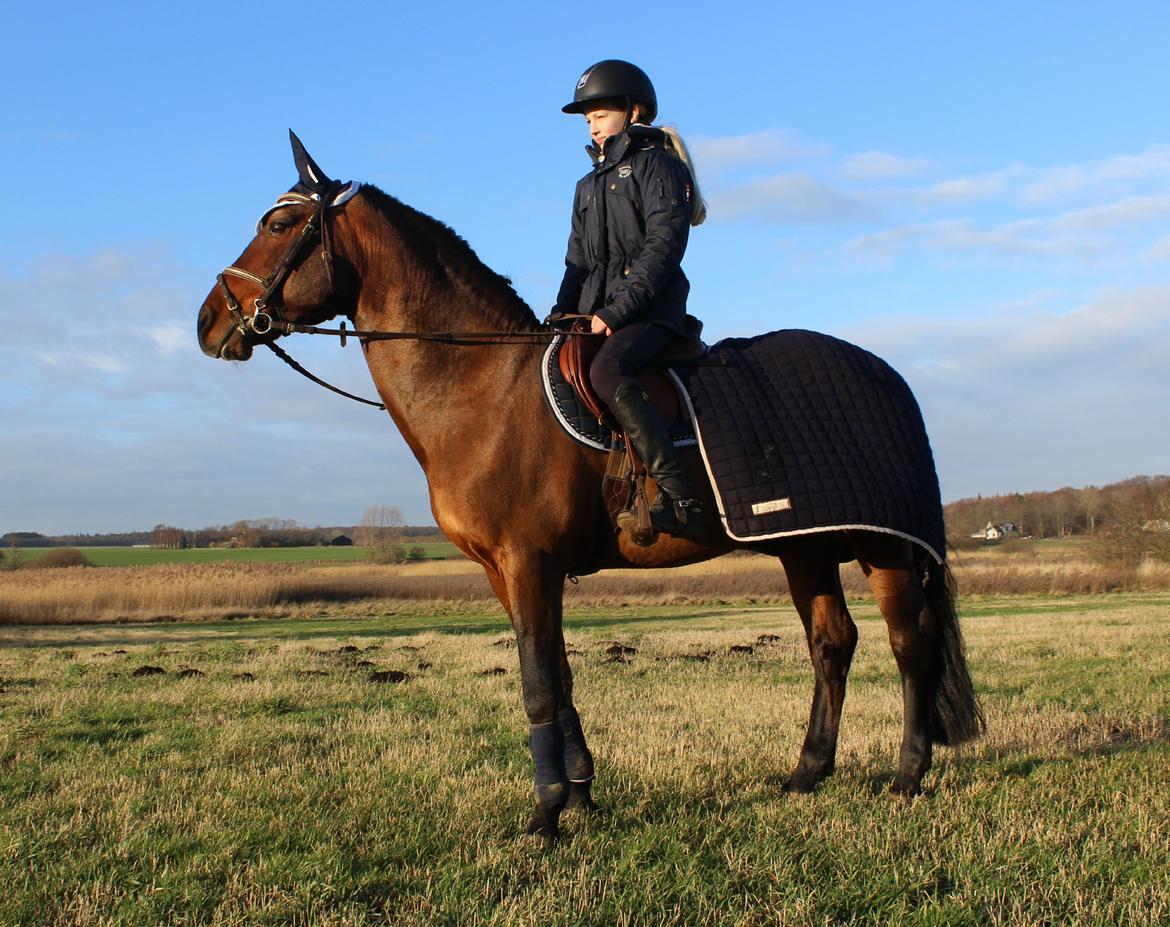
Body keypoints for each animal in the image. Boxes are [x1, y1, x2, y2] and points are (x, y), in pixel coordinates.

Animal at [196, 134, 984, 840]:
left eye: (278, 225)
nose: (209, 321)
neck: (482, 388)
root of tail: (886, 376)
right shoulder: (504, 571)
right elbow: (560, 676)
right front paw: (580, 796)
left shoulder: (530, 561)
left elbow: (539, 681)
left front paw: (546, 815)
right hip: (805, 546)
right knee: (833, 643)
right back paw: (806, 774)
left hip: (880, 546)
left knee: (909, 645)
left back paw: (907, 776)